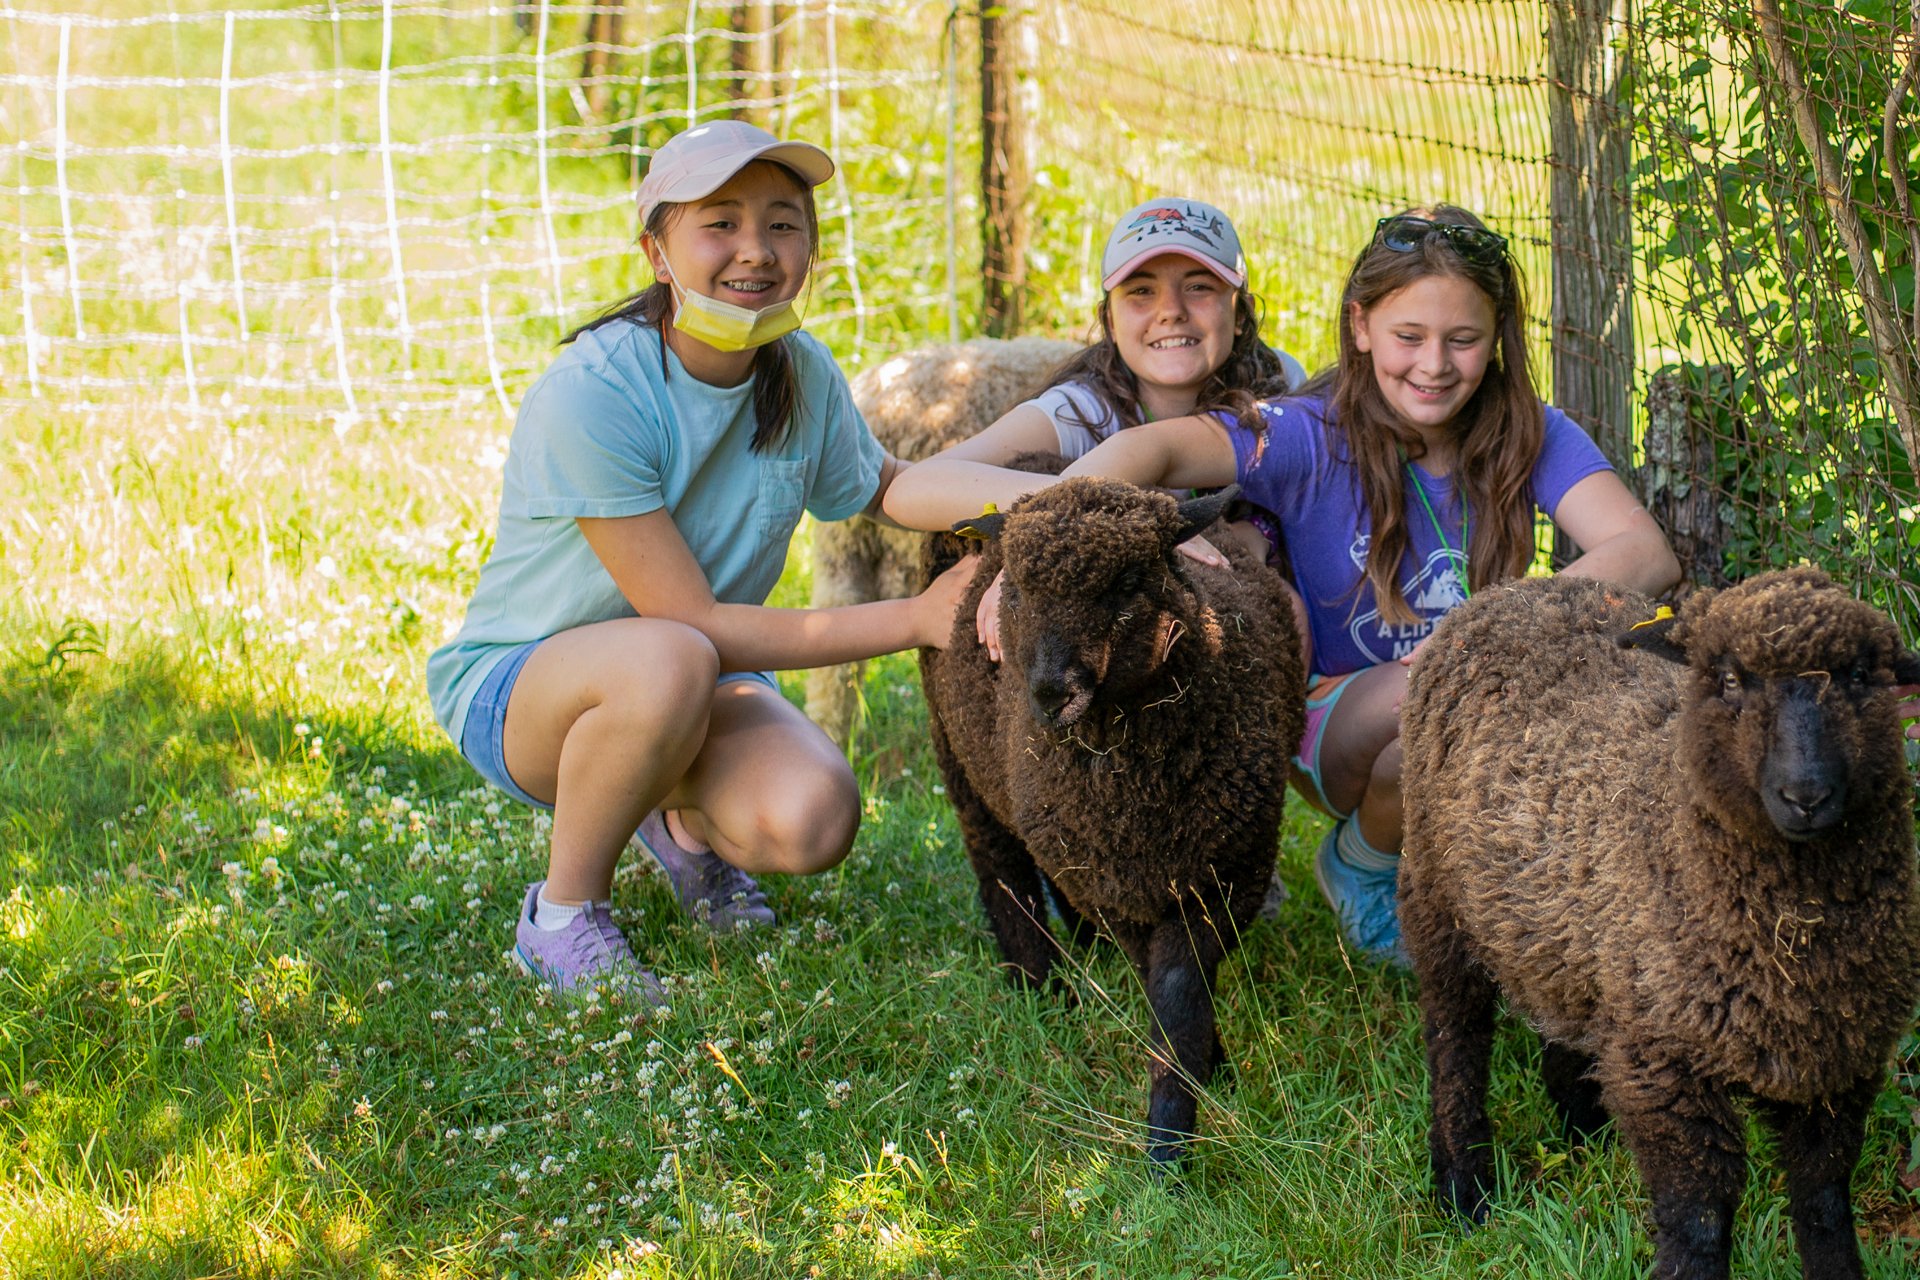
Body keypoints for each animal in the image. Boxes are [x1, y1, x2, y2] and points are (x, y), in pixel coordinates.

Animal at [1397, 571, 1920, 1280]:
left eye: (1863, 675)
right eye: (1728, 679)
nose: (1805, 795)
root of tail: (1521, 586)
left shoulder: (1840, 1062)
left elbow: (1824, 1203)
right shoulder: (1664, 1069)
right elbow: (1699, 1220)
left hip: (1568, 934)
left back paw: (1583, 1135)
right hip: (1437, 901)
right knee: (1456, 1041)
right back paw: (1464, 1188)